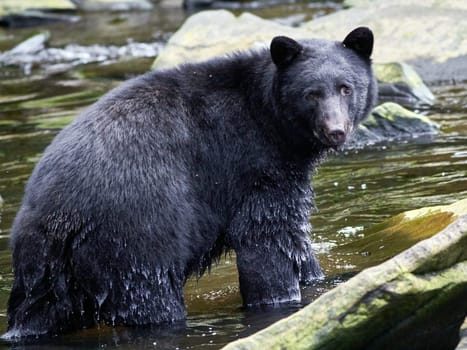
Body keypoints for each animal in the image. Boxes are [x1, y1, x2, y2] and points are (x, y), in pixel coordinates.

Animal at [4, 26, 376, 338]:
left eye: (346, 88)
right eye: (311, 93)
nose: (335, 131)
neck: (269, 120)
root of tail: (58, 216)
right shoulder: (253, 167)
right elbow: (268, 239)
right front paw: (280, 297)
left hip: (43, 269)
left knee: (37, 311)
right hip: (136, 232)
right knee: (150, 293)